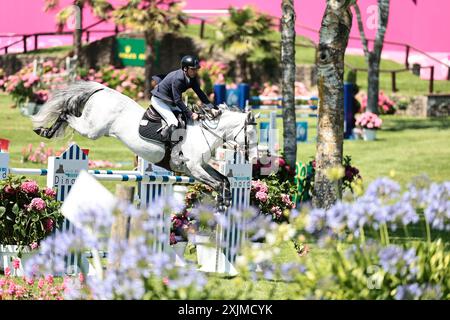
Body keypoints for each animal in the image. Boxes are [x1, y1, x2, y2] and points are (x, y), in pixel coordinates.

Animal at [30, 80, 256, 198]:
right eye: (250, 134)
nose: (253, 158)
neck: (205, 133)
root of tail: (102, 89)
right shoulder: (193, 168)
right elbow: (216, 183)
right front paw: (223, 203)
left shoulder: (200, 166)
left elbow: (223, 179)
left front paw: (226, 201)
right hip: (92, 129)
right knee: (66, 113)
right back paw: (45, 131)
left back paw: (45, 131)